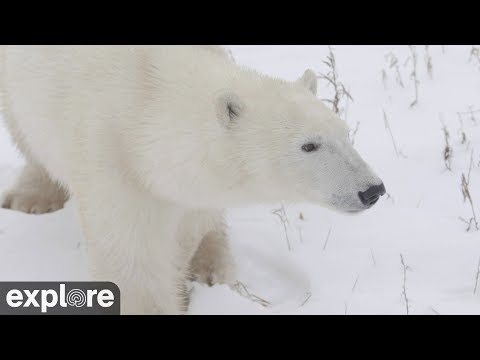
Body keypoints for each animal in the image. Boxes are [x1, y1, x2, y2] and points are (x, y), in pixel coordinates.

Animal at [0, 46, 384, 314]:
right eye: (309, 145)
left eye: (345, 134)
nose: (372, 190)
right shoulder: (111, 157)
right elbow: (131, 253)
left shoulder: (191, 185)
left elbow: (187, 226)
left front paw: (195, 279)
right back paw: (31, 198)